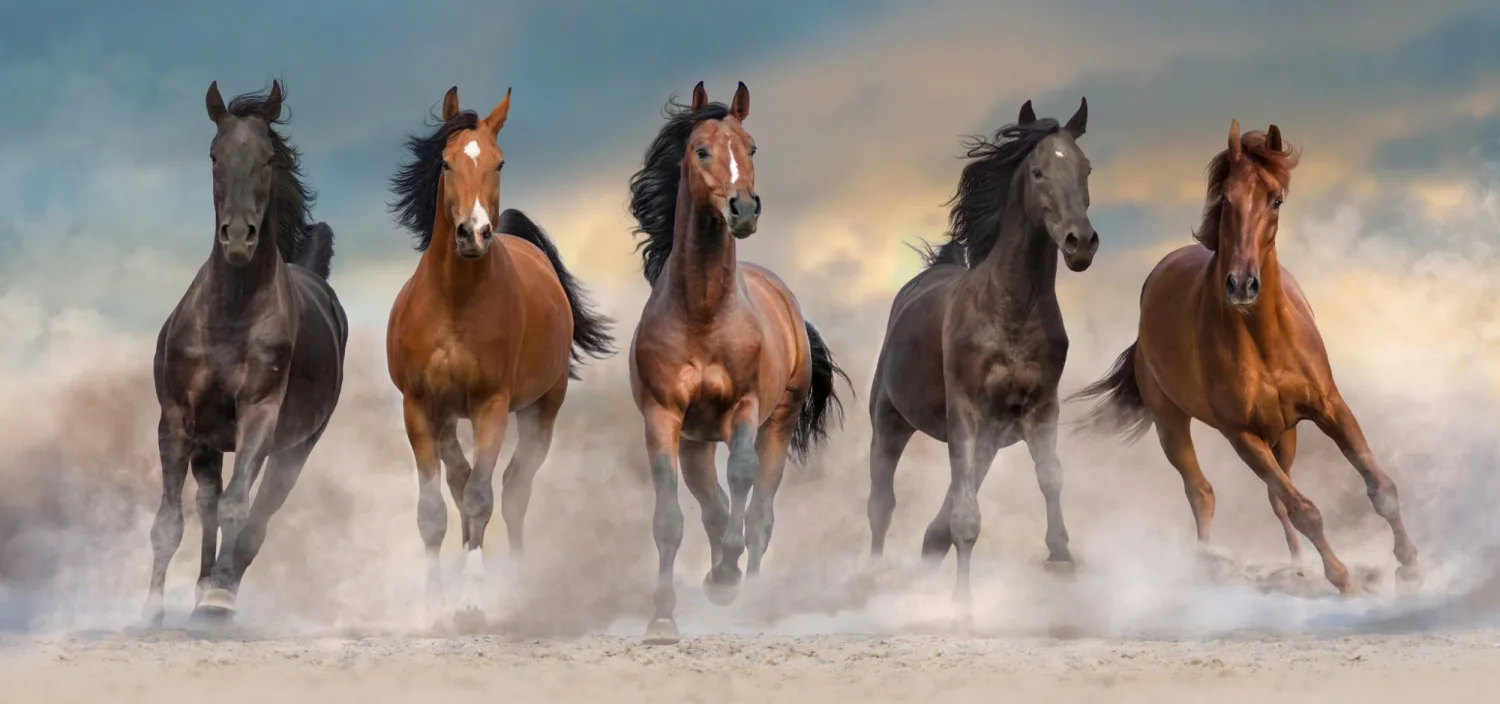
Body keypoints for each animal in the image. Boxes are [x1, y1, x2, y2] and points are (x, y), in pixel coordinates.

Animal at [144, 80, 347, 625]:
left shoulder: (259, 414)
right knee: (208, 502)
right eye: (214, 155)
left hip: (296, 448)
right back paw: (201, 586)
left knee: (258, 515)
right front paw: (151, 609)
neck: (230, 314)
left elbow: (239, 507)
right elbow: (170, 520)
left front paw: (216, 600)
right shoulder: (177, 419)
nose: (238, 236)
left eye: (267, 158)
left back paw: (219, 590)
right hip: (209, 441)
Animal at [386, 86, 615, 628]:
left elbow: (481, 498)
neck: (454, 300)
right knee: (461, 480)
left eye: (500, 162)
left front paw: (471, 601)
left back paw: (514, 586)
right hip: (449, 418)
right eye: (446, 161)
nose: (474, 233)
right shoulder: (418, 408)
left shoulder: (491, 405)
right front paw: (434, 602)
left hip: (541, 411)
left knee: (512, 490)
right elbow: (434, 509)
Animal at [626, 82, 848, 645]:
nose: (743, 208)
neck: (704, 312)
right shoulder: (664, 419)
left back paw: (746, 596)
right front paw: (663, 619)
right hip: (696, 443)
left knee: (760, 515)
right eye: (701, 149)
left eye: (751, 148)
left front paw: (726, 576)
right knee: (713, 507)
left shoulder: (744, 408)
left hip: (778, 423)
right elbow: (671, 518)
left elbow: (743, 481)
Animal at [866, 98, 1097, 628]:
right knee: (881, 504)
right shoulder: (966, 412)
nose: (1081, 244)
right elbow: (966, 519)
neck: (1009, 309)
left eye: (1086, 169)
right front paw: (962, 611)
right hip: (890, 422)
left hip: (989, 436)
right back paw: (874, 584)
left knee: (941, 513)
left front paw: (1061, 562)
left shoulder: (1040, 408)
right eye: (1037, 171)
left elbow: (1050, 476)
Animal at [1071, 120, 1422, 595]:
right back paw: (1208, 565)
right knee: (1202, 492)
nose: (1241, 284)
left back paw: (1298, 567)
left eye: (1276, 200)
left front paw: (1411, 564)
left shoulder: (1329, 408)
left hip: (1285, 434)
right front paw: (1344, 580)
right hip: (1172, 425)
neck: (1264, 338)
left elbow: (1379, 487)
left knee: (1275, 497)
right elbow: (1306, 510)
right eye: (1226, 198)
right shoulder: (1242, 436)